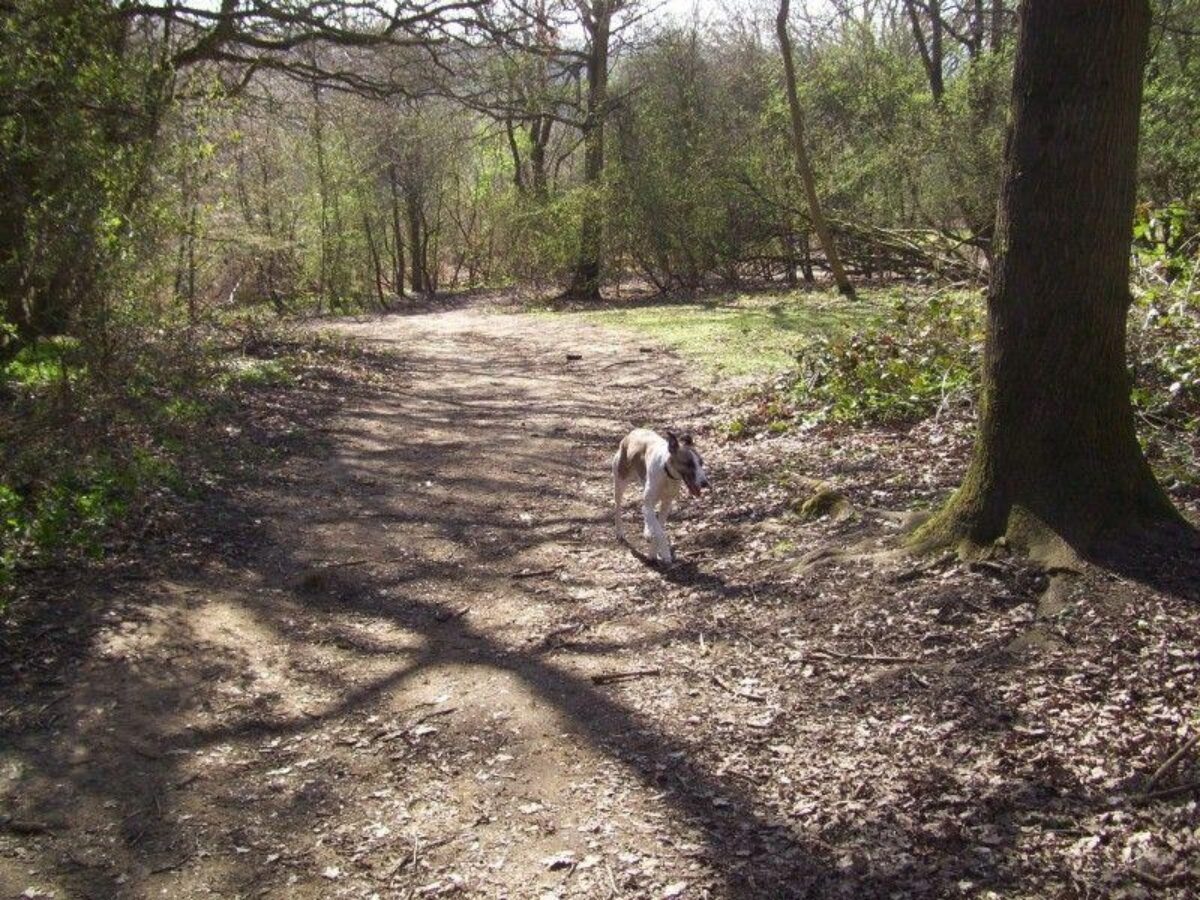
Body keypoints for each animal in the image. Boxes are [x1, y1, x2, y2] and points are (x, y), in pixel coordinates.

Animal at [614, 429, 705, 564]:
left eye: (701, 463)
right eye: (689, 464)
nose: (705, 483)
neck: (667, 473)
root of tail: (633, 432)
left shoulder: (666, 505)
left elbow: (659, 527)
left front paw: (653, 552)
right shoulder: (650, 504)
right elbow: (660, 532)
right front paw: (665, 553)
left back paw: (647, 530)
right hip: (620, 482)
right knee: (618, 508)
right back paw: (620, 532)